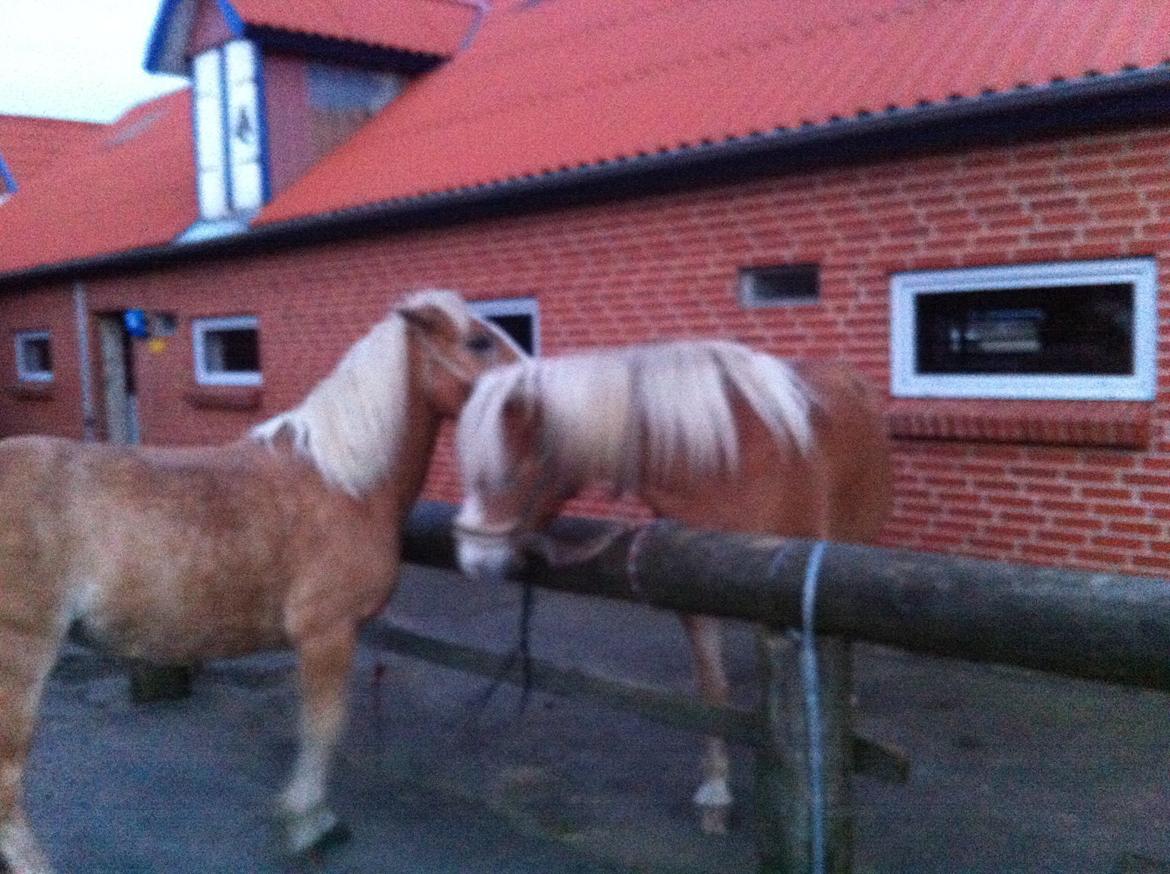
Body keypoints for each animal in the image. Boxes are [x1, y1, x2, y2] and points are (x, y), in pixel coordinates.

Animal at [0, 290, 521, 870]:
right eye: (478, 341)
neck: (341, 482)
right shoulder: (327, 633)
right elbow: (323, 729)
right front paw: (310, 823)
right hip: (19, 661)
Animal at [451, 339, 889, 833]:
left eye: (510, 471)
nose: (472, 558)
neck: (728, 463)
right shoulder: (692, 591)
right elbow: (712, 691)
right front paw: (715, 793)